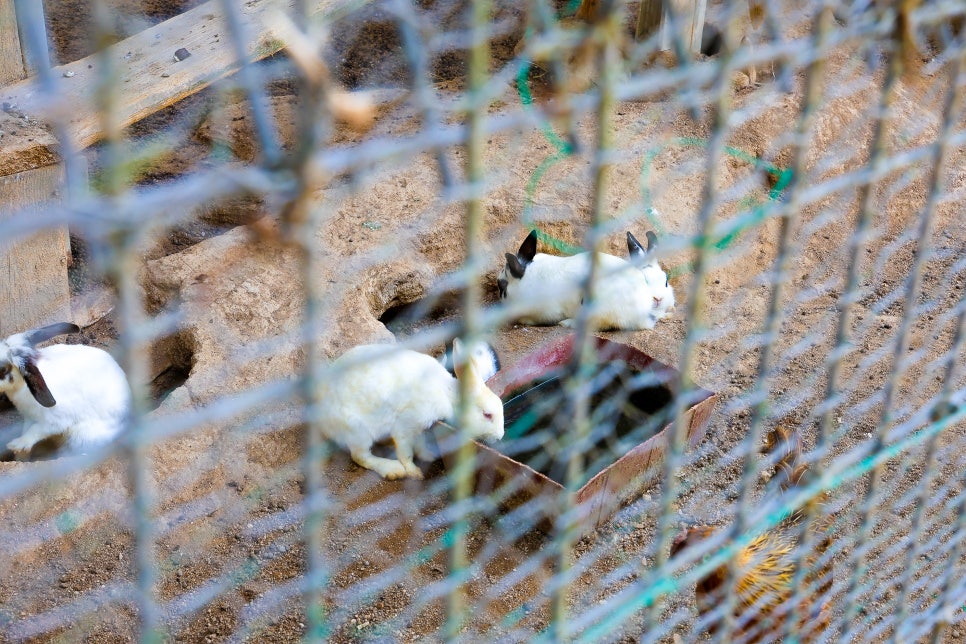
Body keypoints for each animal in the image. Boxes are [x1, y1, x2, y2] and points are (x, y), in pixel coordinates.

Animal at [0, 322, 130, 458]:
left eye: (3, 369)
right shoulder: (29, 417)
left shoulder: (55, 421)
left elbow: (35, 431)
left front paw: (16, 445)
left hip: (81, 437)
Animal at [318, 338, 506, 478]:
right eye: (487, 415)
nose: (499, 437)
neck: (448, 395)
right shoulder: (406, 424)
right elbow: (405, 451)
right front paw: (414, 472)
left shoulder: (420, 427)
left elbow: (419, 443)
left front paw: (428, 455)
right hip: (358, 431)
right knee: (360, 457)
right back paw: (393, 470)